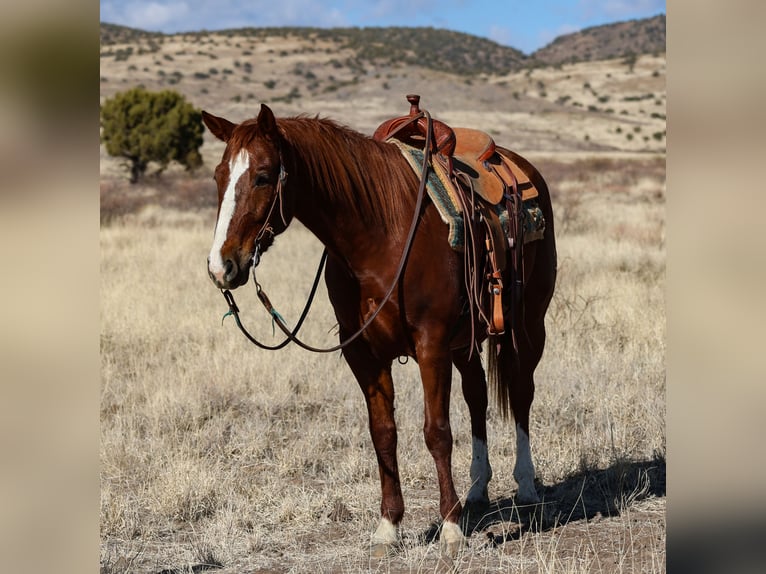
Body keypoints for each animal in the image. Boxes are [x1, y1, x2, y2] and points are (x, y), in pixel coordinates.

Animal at [201, 103, 556, 560]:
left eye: (263, 175)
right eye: (219, 176)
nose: (220, 266)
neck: (380, 235)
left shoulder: (431, 345)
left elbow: (437, 432)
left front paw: (451, 528)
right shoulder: (363, 353)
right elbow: (383, 434)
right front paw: (389, 526)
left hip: (527, 326)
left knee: (521, 391)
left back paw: (525, 483)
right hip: (466, 340)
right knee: (477, 395)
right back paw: (477, 488)